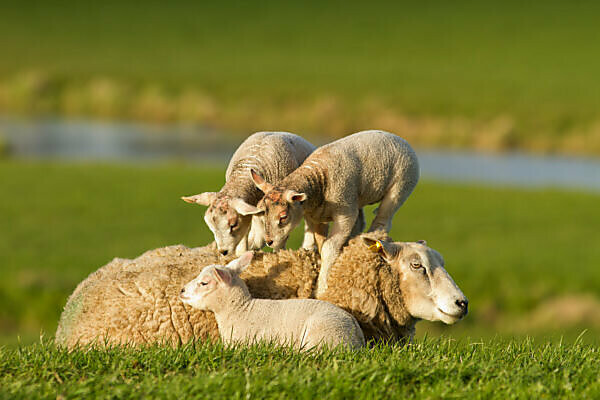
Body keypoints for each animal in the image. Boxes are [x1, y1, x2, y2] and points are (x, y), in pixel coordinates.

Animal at [246, 130, 420, 296]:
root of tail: (398, 138)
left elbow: (328, 248)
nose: (269, 242)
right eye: (262, 213)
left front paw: (321, 288)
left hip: (400, 187)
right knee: (361, 222)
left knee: (382, 220)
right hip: (358, 199)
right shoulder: (317, 218)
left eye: (283, 216)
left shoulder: (345, 214)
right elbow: (321, 246)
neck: (319, 179)